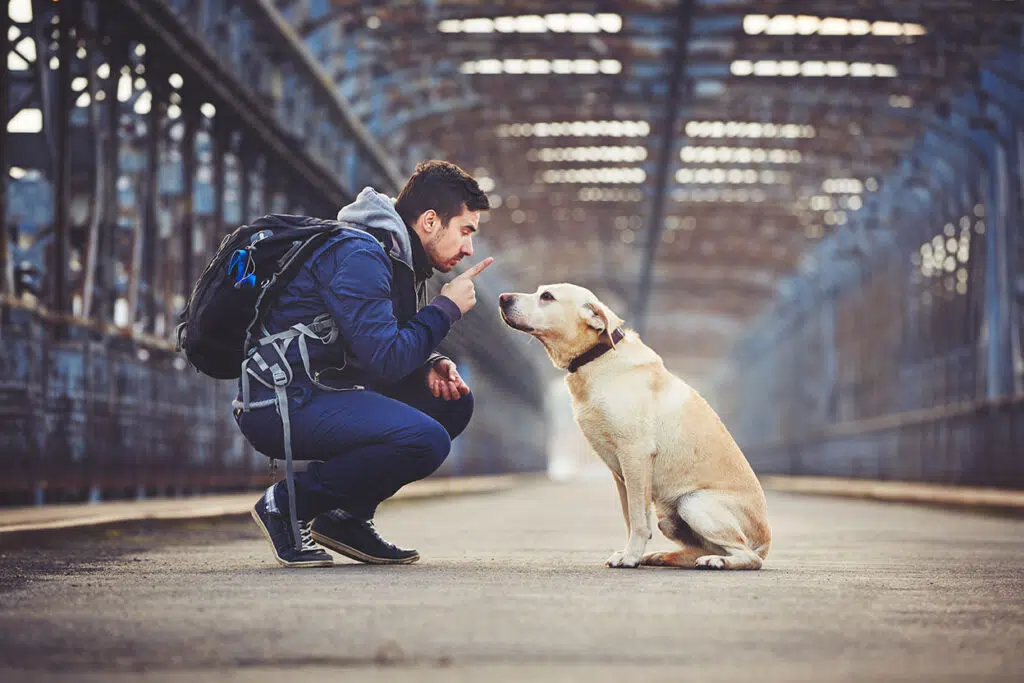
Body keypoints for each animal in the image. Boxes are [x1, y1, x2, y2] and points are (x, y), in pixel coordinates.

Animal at [495, 284, 770, 573]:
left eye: (547, 297)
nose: (503, 298)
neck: (598, 358)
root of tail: (766, 542)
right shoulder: (620, 472)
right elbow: (630, 517)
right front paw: (633, 554)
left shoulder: (635, 455)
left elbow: (638, 518)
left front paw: (629, 557)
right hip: (669, 517)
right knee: (704, 548)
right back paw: (664, 556)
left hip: (693, 502)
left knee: (747, 556)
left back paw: (716, 561)